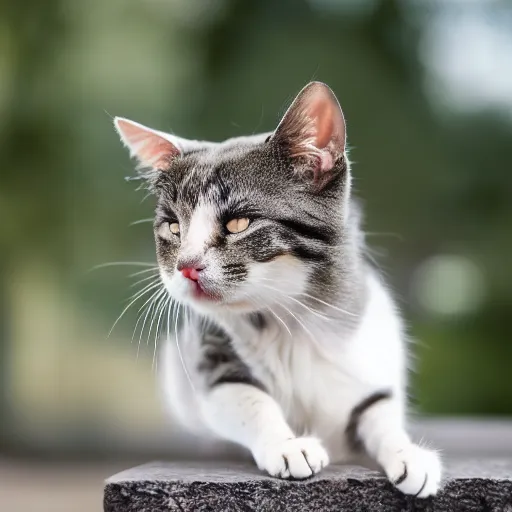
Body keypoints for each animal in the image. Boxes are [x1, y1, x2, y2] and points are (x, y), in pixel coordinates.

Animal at [114, 83, 442, 496]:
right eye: (173, 227)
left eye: (239, 223)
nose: (185, 266)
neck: (290, 321)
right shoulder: (207, 351)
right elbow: (246, 398)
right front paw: (288, 446)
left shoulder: (370, 351)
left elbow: (379, 412)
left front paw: (409, 454)